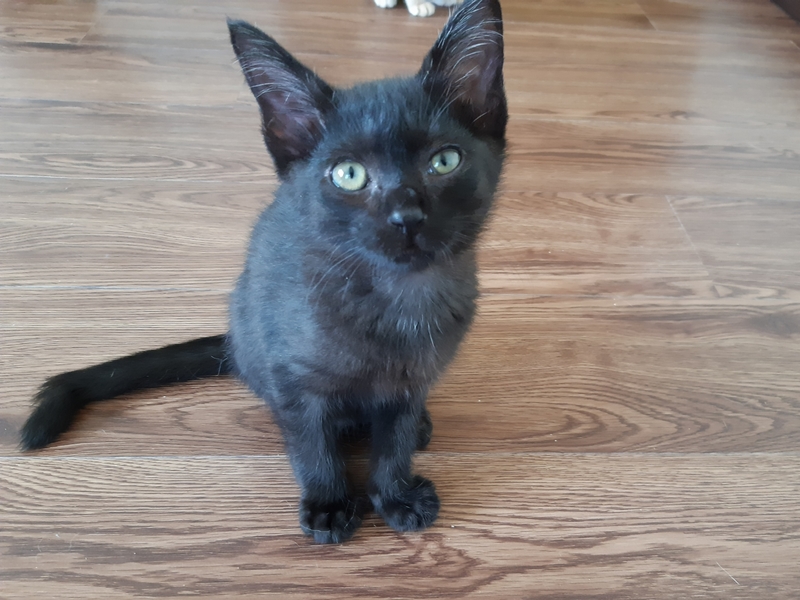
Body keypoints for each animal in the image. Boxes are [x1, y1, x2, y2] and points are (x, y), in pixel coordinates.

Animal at [20, 0, 507, 544]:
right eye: (349, 175)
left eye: (444, 161)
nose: (407, 216)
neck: (396, 298)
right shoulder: (291, 377)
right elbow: (310, 442)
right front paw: (329, 502)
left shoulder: (410, 380)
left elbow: (394, 440)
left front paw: (394, 494)